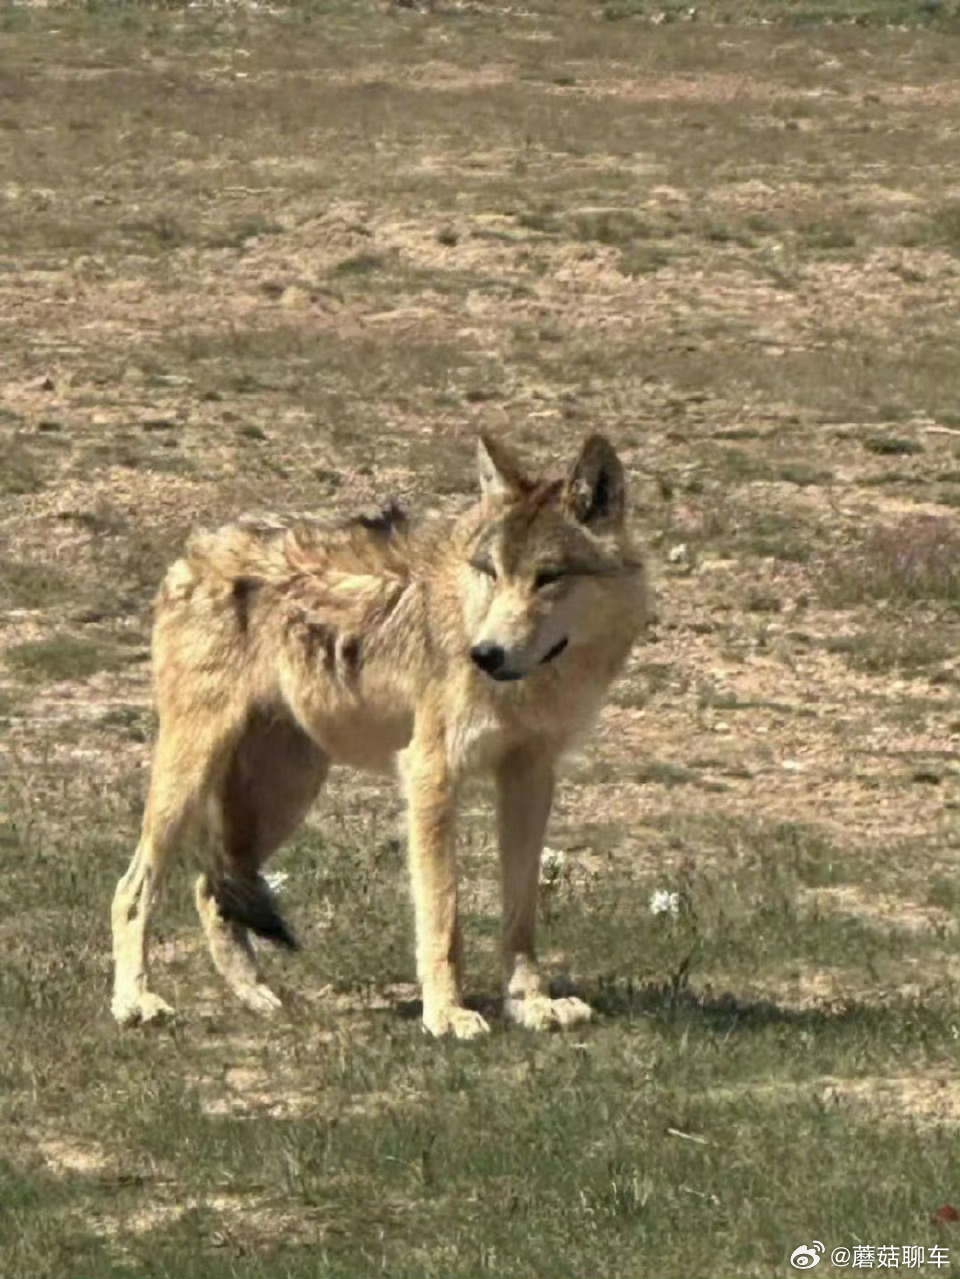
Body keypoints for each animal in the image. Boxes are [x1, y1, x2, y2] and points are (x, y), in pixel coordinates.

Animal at [112, 434, 654, 1033]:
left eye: (548, 577)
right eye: (491, 572)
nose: (485, 654)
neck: (534, 684)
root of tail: (195, 547)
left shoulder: (531, 776)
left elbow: (520, 914)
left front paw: (530, 1003)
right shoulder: (430, 773)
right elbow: (443, 915)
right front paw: (448, 1014)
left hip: (286, 793)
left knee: (210, 888)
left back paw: (258, 998)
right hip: (193, 775)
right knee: (133, 887)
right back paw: (134, 1001)